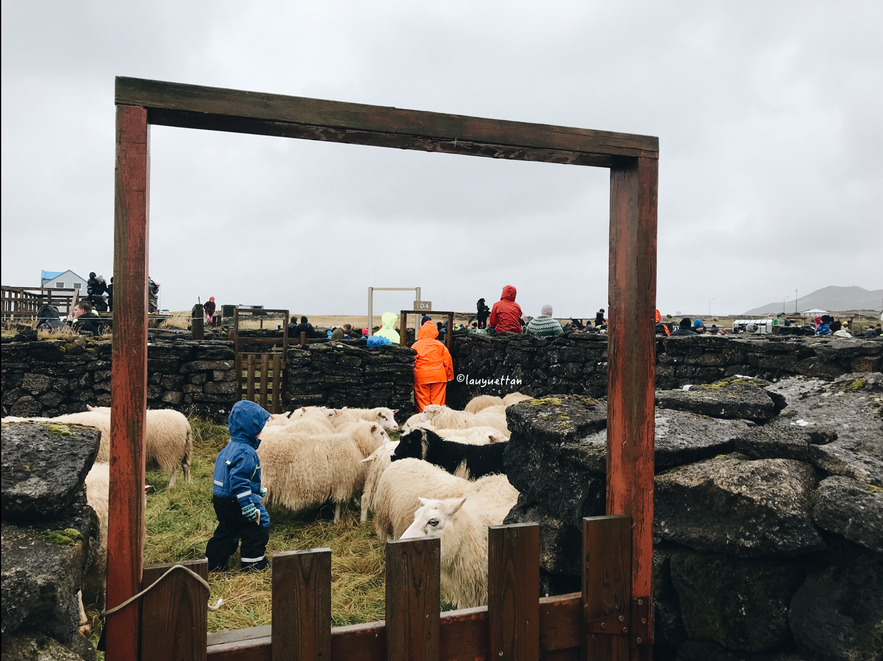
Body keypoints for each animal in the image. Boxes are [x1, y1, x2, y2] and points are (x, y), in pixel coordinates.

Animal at [258, 418, 392, 520]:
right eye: (381, 433)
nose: (391, 443)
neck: (356, 443)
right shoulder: (343, 481)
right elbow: (338, 502)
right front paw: (336, 519)